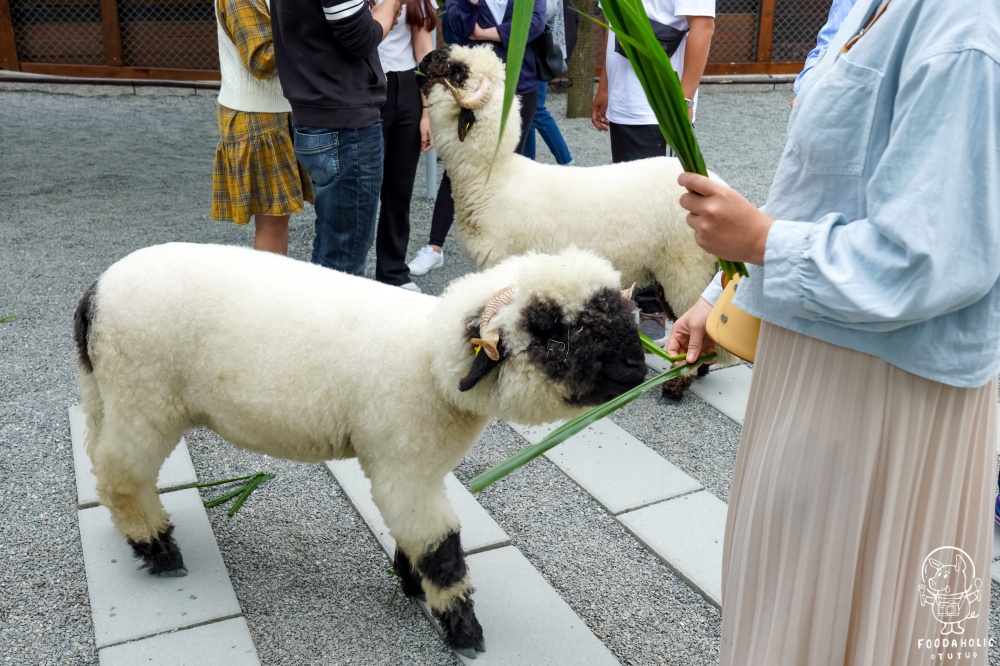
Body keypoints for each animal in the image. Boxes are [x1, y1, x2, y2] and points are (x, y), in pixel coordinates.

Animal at [72, 241, 648, 656]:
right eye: (553, 332)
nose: (638, 368)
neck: (431, 361)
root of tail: (95, 294)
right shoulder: (404, 469)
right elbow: (441, 550)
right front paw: (463, 632)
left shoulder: (418, 473)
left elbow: (416, 539)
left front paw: (412, 583)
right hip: (145, 399)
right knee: (121, 477)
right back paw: (160, 550)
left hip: (105, 391)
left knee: (99, 458)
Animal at [418, 45, 740, 394]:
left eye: (457, 72)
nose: (424, 58)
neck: (493, 179)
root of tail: (719, 185)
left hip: (686, 267)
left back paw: (680, 381)